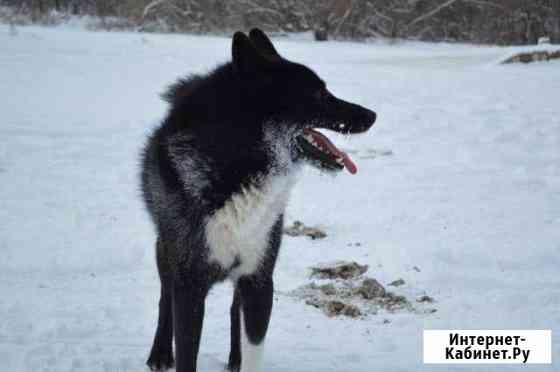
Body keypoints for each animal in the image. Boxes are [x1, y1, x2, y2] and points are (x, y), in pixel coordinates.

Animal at [140, 28, 376, 372]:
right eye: (319, 94)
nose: (372, 115)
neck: (239, 168)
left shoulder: (259, 279)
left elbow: (251, 341)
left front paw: (242, 359)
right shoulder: (189, 285)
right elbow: (185, 349)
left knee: (233, 312)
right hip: (165, 252)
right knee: (164, 299)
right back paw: (159, 353)